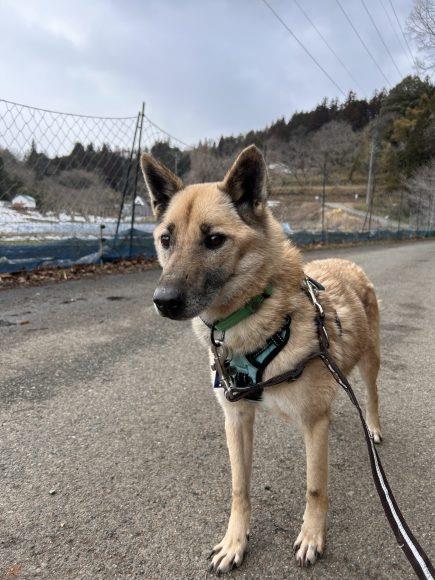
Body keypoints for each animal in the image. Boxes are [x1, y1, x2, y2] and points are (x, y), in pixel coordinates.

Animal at [140, 145, 382, 574]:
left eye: (214, 239)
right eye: (166, 239)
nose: (163, 301)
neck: (254, 316)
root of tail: (347, 263)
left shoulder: (313, 422)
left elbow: (315, 486)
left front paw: (312, 537)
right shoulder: (236, 419)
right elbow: (239, 487)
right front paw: (235, 541)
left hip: (370, 364)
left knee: (370, 396)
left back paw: (372, 426)